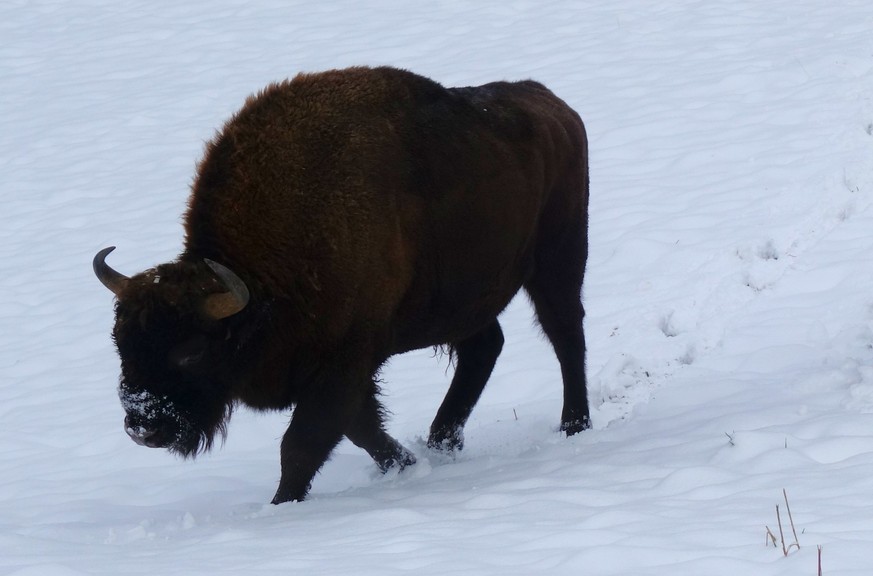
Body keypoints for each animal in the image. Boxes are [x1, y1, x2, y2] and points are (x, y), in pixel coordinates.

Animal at [93, 65, 584, 502]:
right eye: (120, 342)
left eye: (192, 351)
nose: (143, 426)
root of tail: (555, 109)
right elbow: (361, 429)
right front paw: (405, 465)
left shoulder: (344, 363)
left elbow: (303, 443)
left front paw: (281, 505)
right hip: (461, 303)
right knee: (484, 348)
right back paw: (441, 444)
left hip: (557, 262)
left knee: (565, 336)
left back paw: (574, 426)